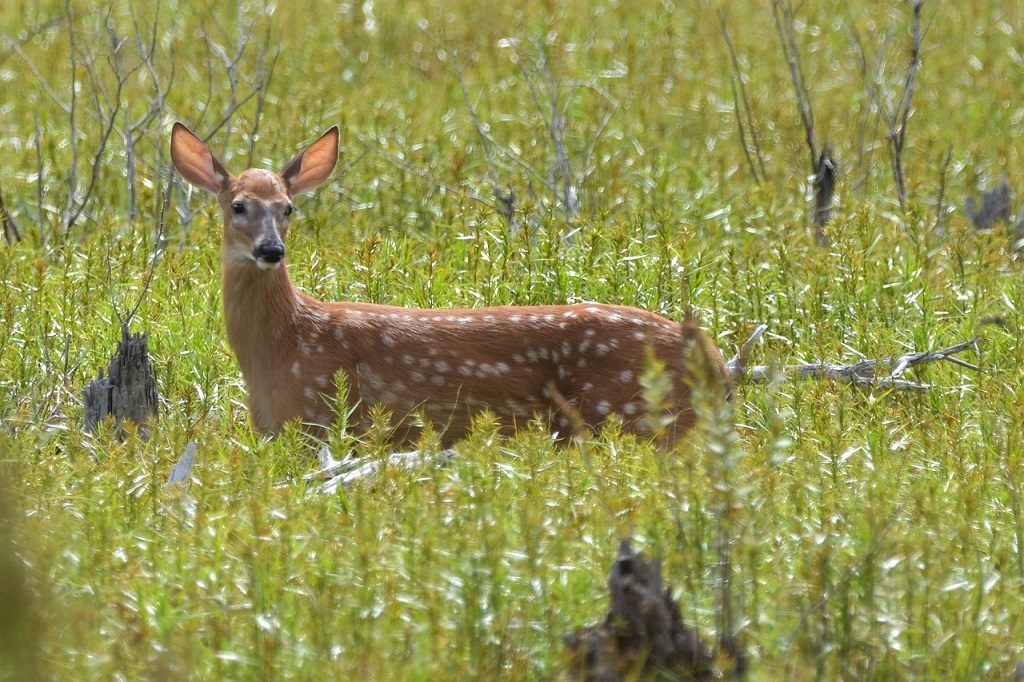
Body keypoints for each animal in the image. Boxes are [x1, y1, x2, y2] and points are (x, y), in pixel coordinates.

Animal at [169, 121, 729, 446]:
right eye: (238, 205)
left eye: (288, 208)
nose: (270, 250)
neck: (283, 346)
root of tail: (719, 363)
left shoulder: (321, 421)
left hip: (639, 418)